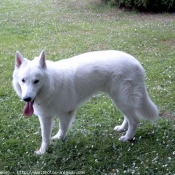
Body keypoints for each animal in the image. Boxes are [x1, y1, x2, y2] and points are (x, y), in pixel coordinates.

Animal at [12, 50, 159, 154]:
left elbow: (62, 128)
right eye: (23, 80)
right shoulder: (45, 117)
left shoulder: (66, 113)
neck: (51, 85)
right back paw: (122, 128)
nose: (27, 99)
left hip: (121, 99)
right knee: (129, 117)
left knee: (134, 120)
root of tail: (137, 63)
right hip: (120, 100)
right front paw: (43, 152)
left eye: (36, 81)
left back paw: (127, 137)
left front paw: (59, 138)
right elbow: (45, 137)